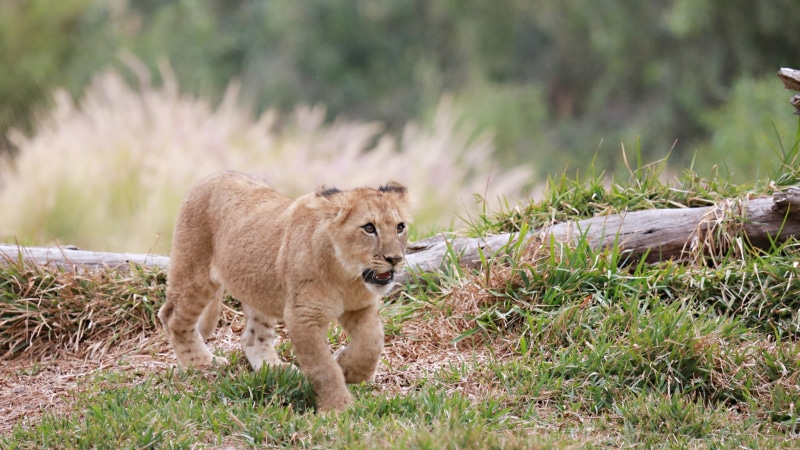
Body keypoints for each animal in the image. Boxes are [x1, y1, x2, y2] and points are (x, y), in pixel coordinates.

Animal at [158, 171, 411, 412]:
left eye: (400, 227)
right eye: (369, 228)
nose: (395, 259)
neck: (347, 277)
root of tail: (212, 176)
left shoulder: (360, 307)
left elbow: (372, 343)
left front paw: (349, 368)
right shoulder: (303, 316)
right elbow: (322, 366)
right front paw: (337, 407)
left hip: (258, 289)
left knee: (252, 338)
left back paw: (276, 369)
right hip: (194, 272)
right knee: (171, 316)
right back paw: (200, 362)